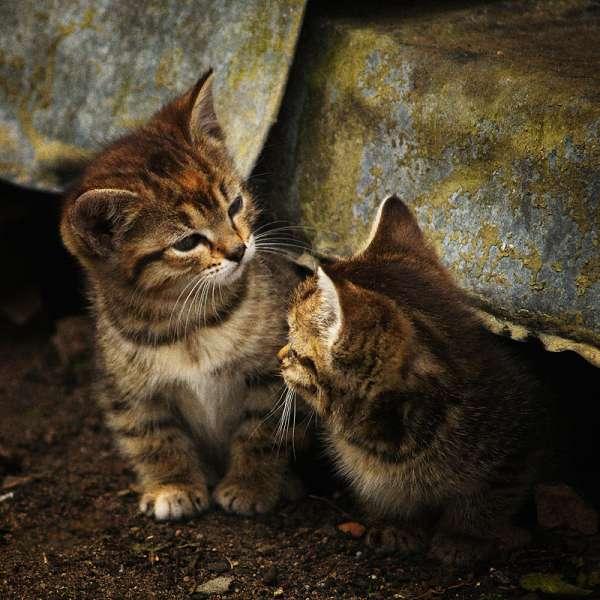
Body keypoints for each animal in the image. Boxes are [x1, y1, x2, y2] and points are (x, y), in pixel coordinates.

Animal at [61, 70, 308, 520]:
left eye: (235, 206)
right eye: (188, 242)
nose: (238, 250)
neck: (189, 320)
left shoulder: (274, 372)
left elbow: (262, 431)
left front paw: (251, 485)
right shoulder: (128, 391)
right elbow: (152, 438)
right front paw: (172, 485)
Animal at [278, 196, 548, 564]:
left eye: (294, 347)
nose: (279, 356)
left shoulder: (517, 444)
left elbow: (484, 501)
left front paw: (462, 538)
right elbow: (388, 495)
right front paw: (399, 527)